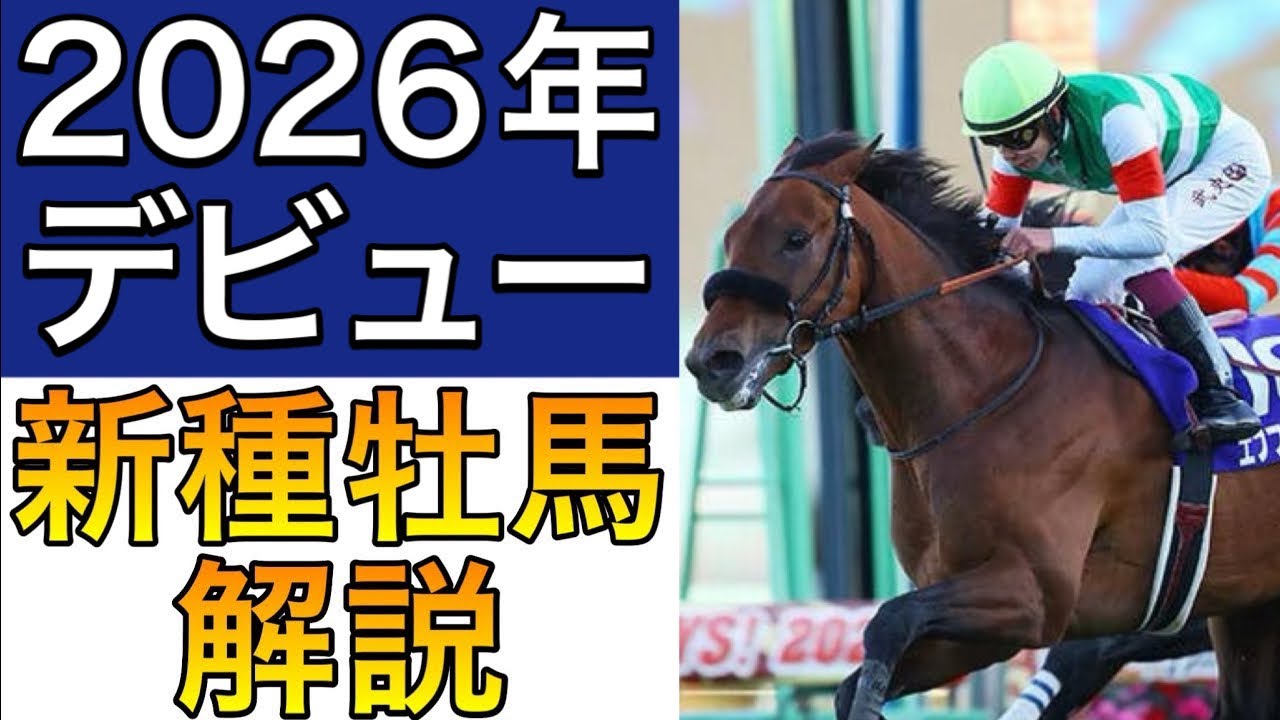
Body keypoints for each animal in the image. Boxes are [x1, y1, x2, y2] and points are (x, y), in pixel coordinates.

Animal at [684, 132, 1280, 719]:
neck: (986, 389)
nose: (713, 362)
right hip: (1249, 610)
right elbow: (860, 672)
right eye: (733, 236)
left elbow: (888, 622)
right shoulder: (972, 627)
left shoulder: (1038, 597)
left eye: (796, 238)